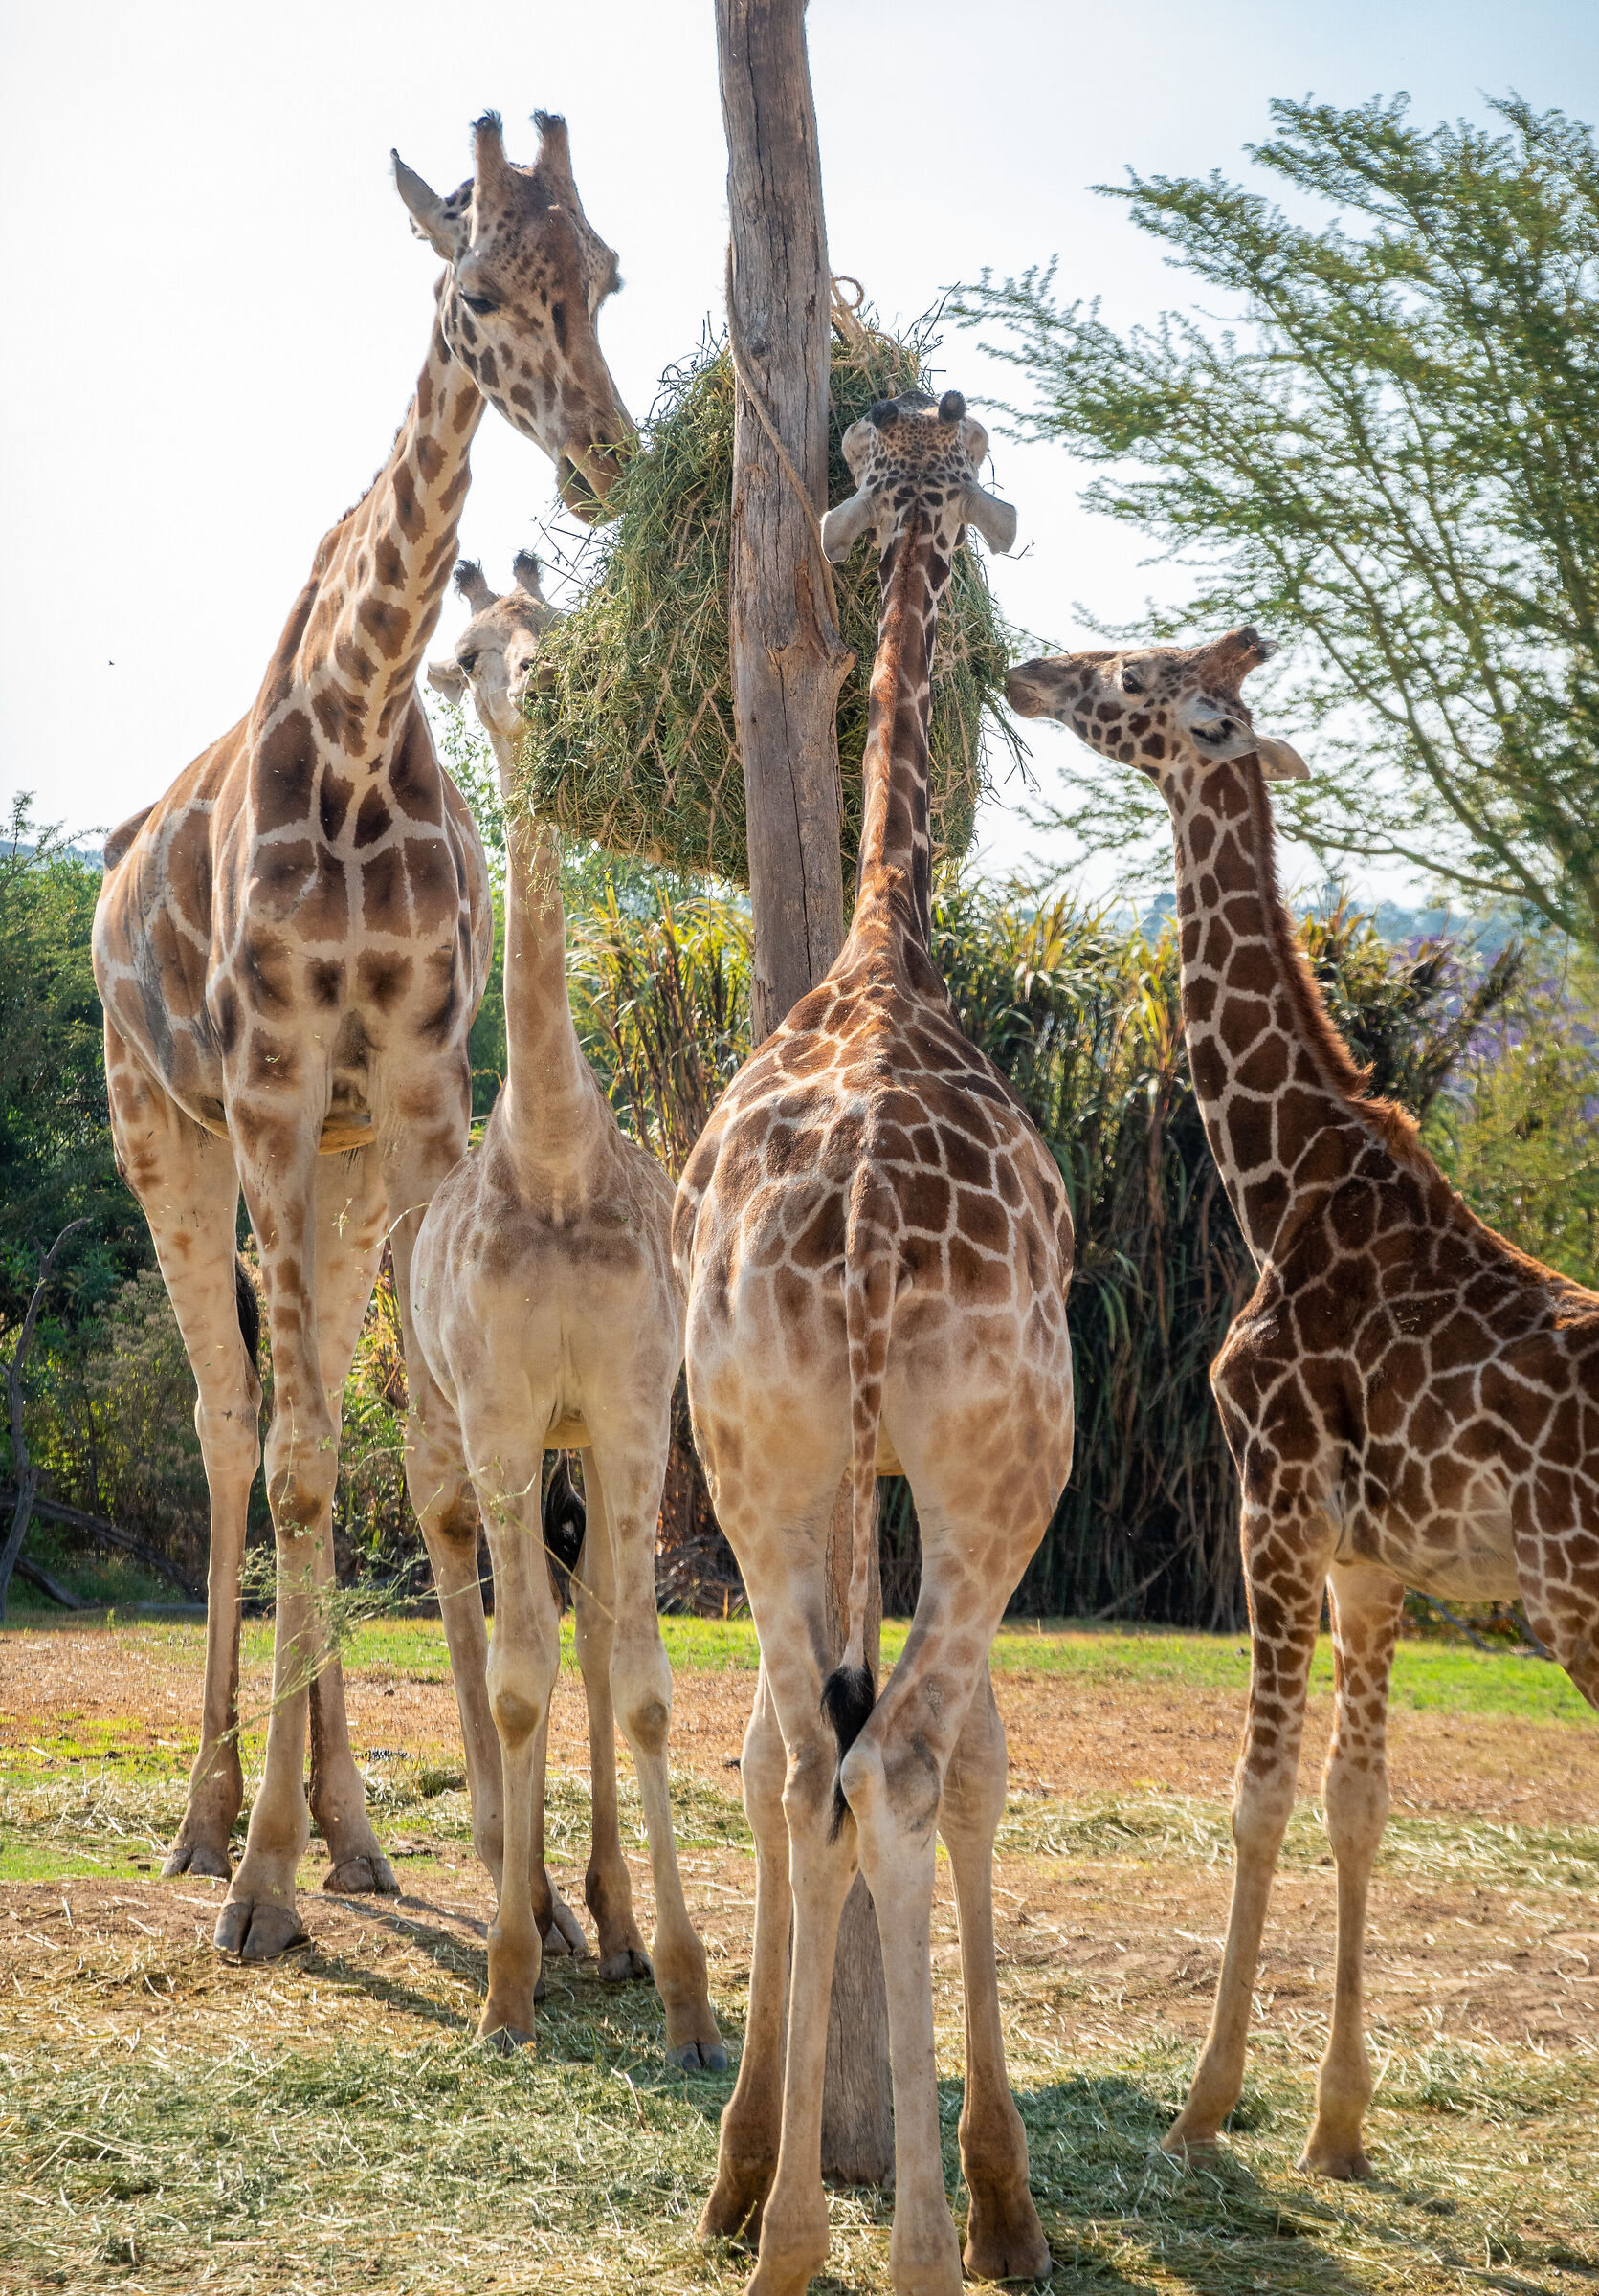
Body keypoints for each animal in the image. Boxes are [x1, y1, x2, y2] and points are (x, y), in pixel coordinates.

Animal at [91, 111, 632, 1963]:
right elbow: (308, 1461)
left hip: (323, 1175)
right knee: (238, 1427)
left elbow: (440, 1465)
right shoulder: (262, 1095)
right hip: (166, 1140)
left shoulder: (407, 1096)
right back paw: (207, 1830)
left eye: (606, 273)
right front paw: (256, 1881)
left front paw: (513, 1883)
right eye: (473, 292)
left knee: (314, 1407)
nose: (606, 457)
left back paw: (352, 1833)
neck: (352, 720)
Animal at [1006, 627, 1599, 2179]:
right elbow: (1359, 1807)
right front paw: (1335, 2125)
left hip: (1576, 1596)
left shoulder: (1268, 1501)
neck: (1278, 1183)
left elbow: (1256, 1797)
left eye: (1133, 679)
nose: (1025, 670)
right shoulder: (1372, 1565)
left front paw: (1201, 2107)